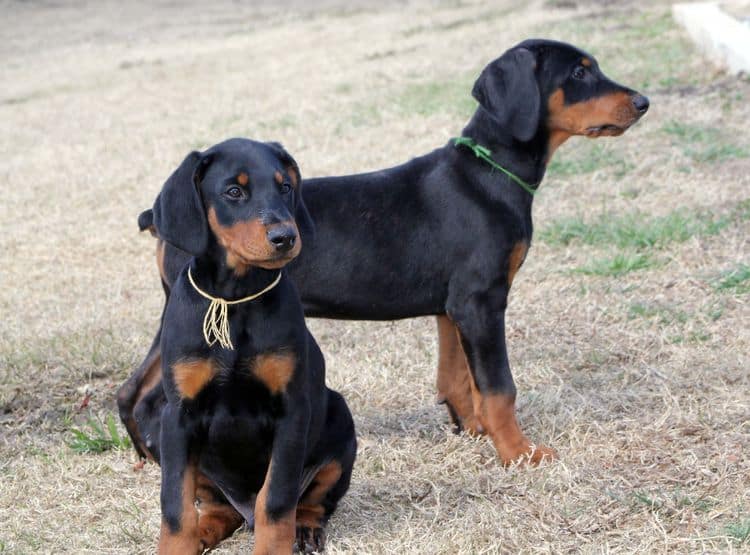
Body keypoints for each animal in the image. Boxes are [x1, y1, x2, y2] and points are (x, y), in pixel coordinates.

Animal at [120, 39, 648, 472]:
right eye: (579, 73)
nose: (643, 102)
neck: (490, 172)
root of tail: (161, 218)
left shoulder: (452, 307)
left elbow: (457, 378)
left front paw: (473, 432)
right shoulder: (481, 301)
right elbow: (498, 387)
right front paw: (519, 453)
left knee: (131, 390)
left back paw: (150, 460)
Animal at [141, 138, 358, 552]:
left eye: (285, 187)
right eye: (233, 192)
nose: (285, 237)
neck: (234, 299)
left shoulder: (291, 412)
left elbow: (275, 501)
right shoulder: (177, 417)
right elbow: (175, 506)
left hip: (339, 421)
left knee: (310, 501)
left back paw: (305, 529)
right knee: (216, 508)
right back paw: (203, 533)